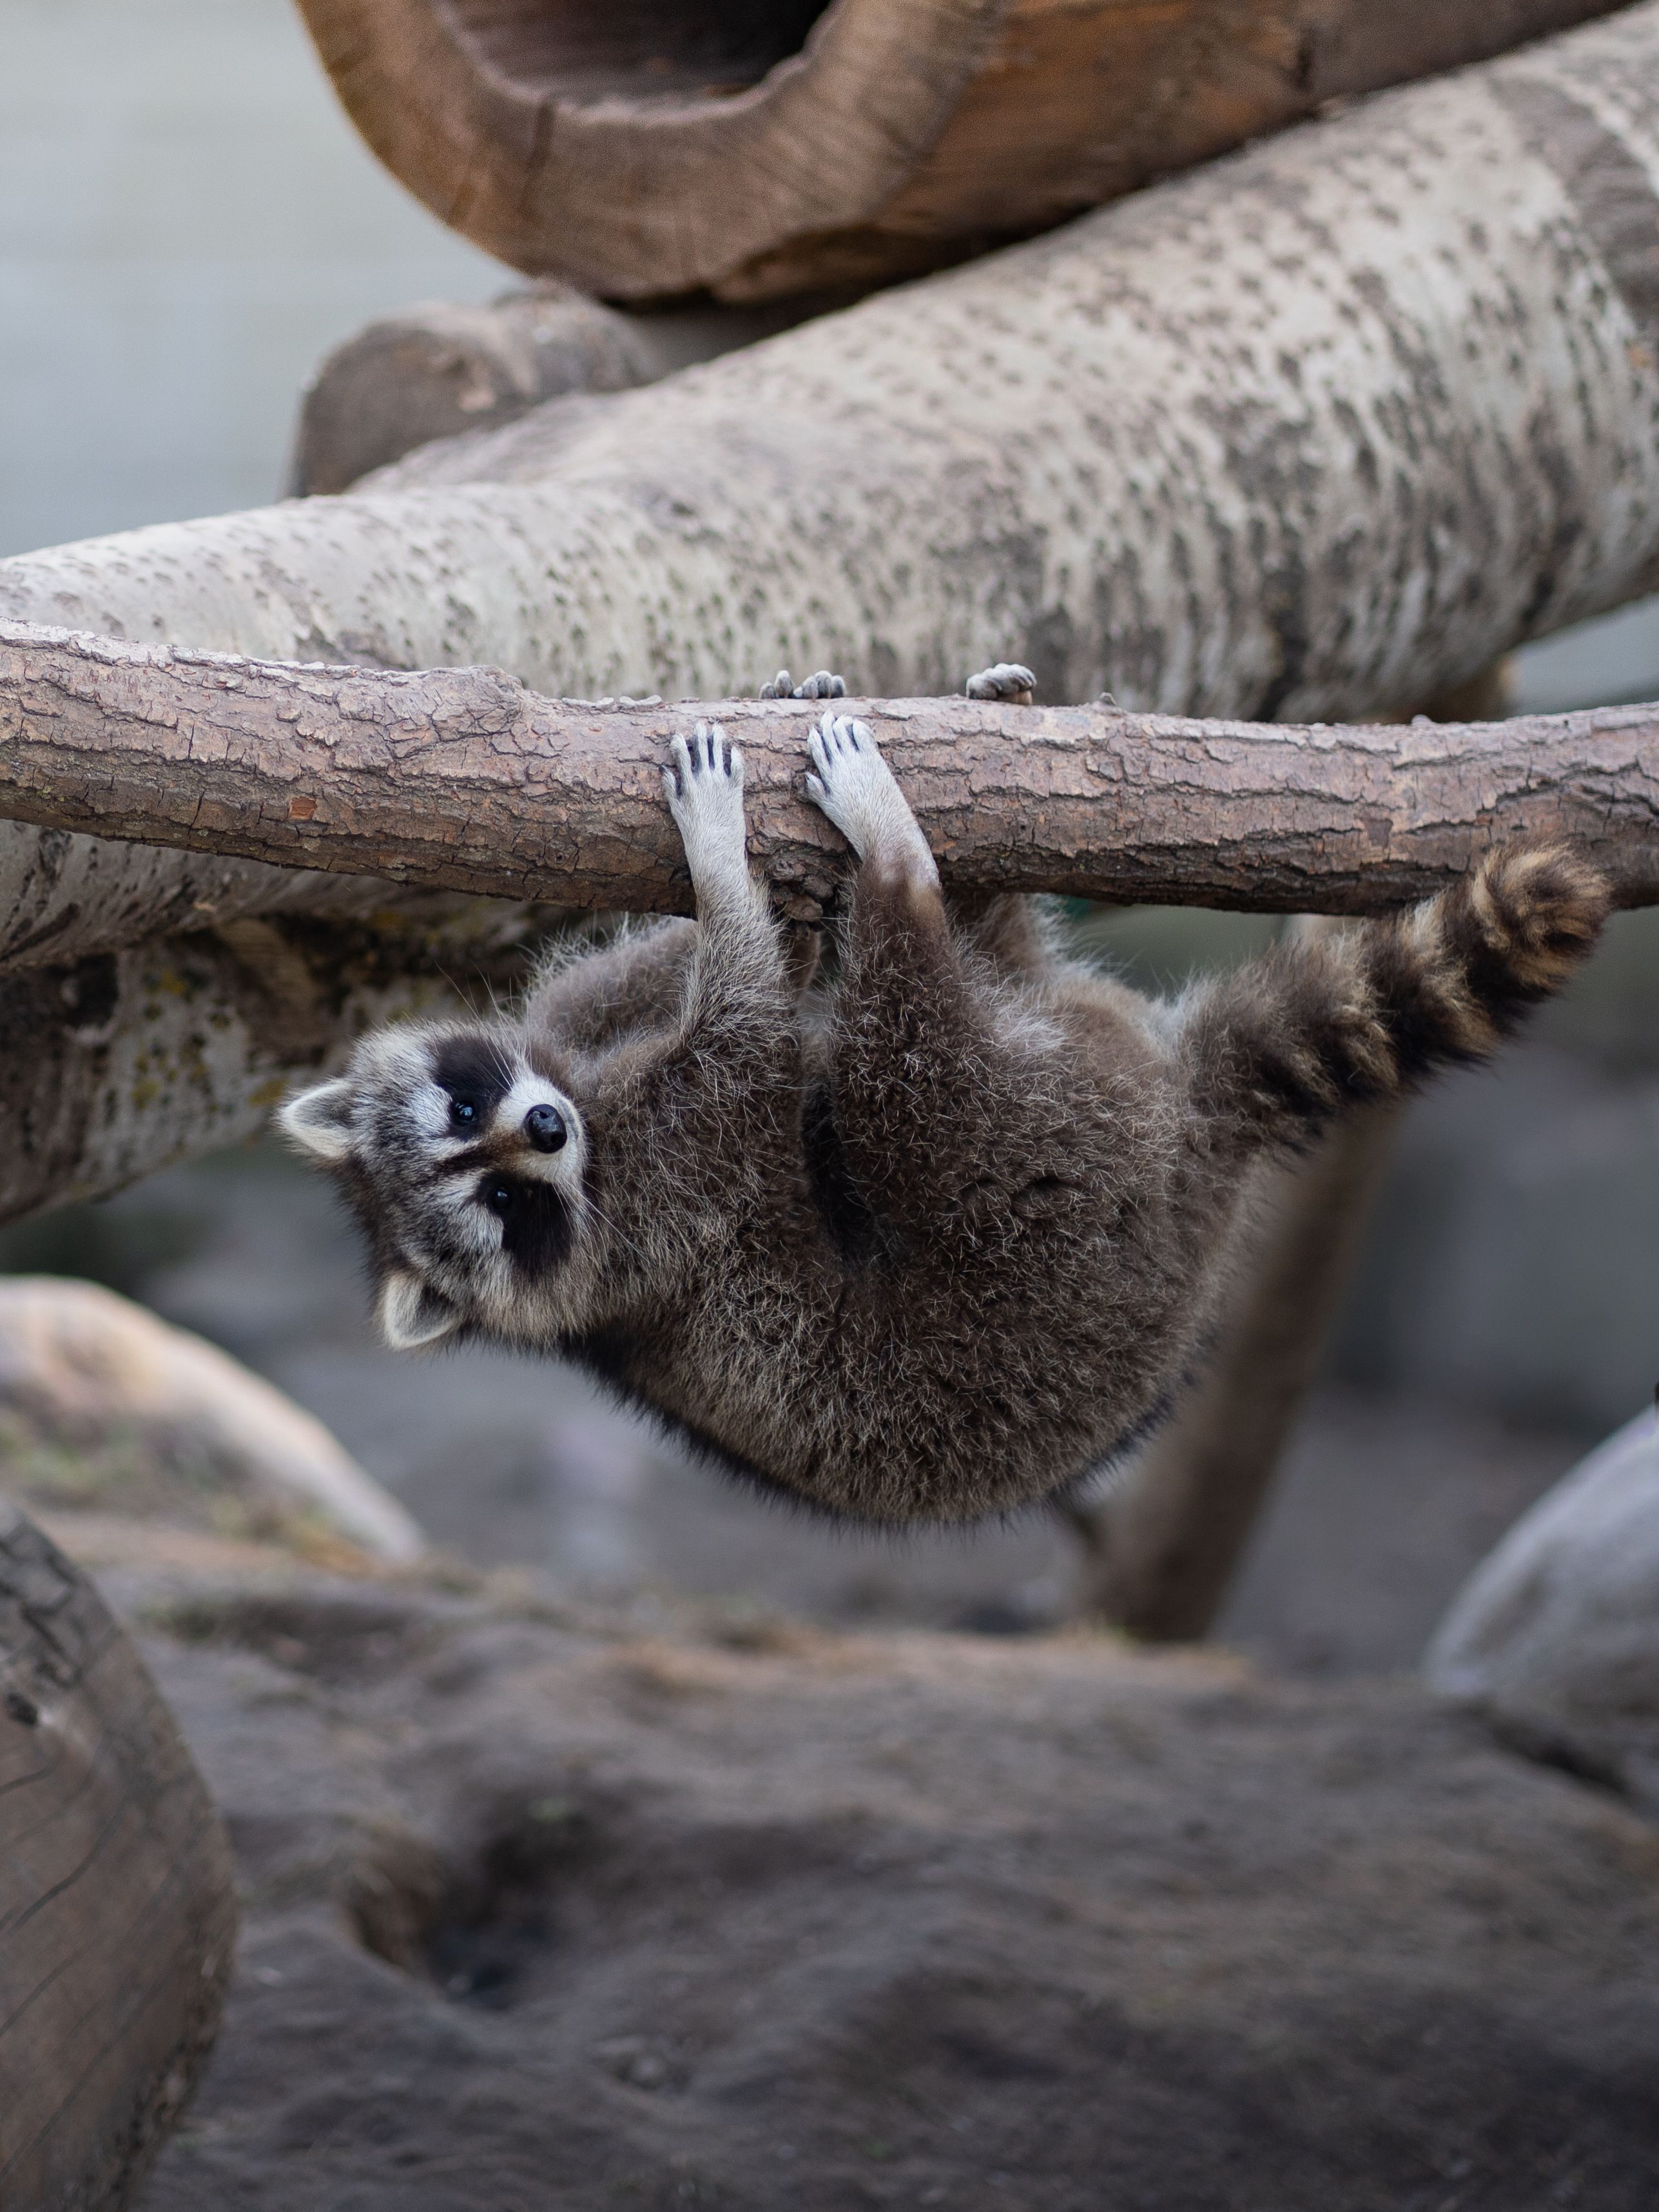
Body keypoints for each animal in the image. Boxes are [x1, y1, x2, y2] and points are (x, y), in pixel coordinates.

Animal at [282, 708, 1606, 1526]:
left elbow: (675, 981)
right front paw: (727, 871)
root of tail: (1192, 1133)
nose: (548, 1134)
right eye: (504, 1200)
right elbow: (751, 1042)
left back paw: (980, 890)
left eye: (475, 1106)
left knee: (983, 998)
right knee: (909, 1085)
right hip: (1052, 1207)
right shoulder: (657, 1211)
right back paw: (904, 878)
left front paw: (743, 902)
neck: (594, 1126)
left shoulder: (566, 1044)